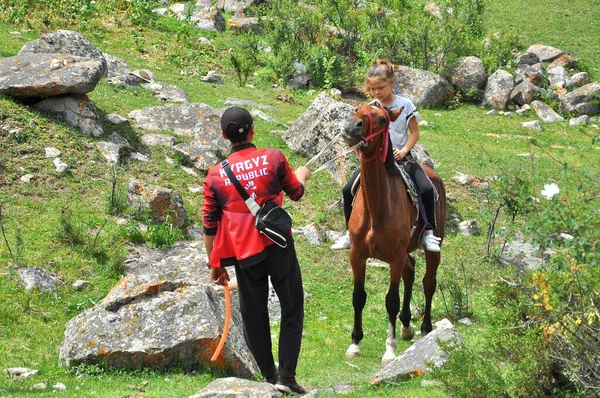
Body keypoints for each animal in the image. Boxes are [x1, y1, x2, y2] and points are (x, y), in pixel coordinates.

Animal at [342, 103, 446, 364]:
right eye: (357, 109)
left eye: (381, 119)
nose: (352, 127)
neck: (378, 206)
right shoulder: (357, 255)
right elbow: (358, 296)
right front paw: (355, 343)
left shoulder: (394, 258)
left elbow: (391, 300)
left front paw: (389, 349)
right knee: (410, 271)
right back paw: (407, 326)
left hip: (431, 249)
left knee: (428, 282)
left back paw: (425, 328)